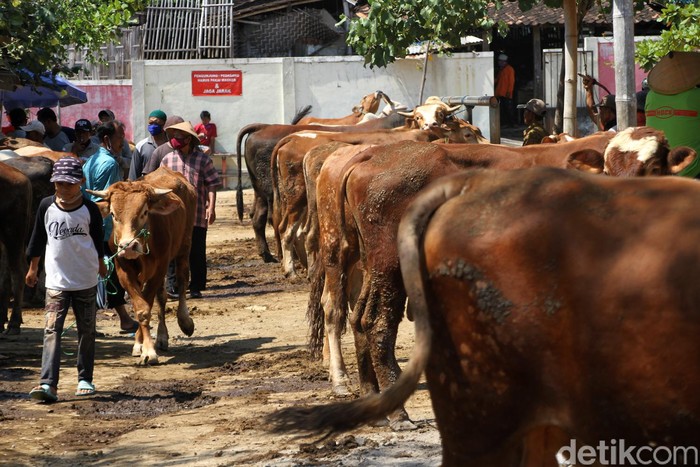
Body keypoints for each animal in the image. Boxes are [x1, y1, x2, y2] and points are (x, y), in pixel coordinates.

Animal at [89, 166, 197, 364]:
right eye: (113, 214)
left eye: (144, 212)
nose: (128, 246)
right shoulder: (124, 272)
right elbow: (141, 308)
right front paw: (140, 345)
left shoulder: (160, 268)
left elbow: (147, 304)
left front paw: (148, 351)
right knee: (161, 297)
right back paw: (161, 337)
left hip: (184, 246)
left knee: (182, 280)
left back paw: (185, 321)